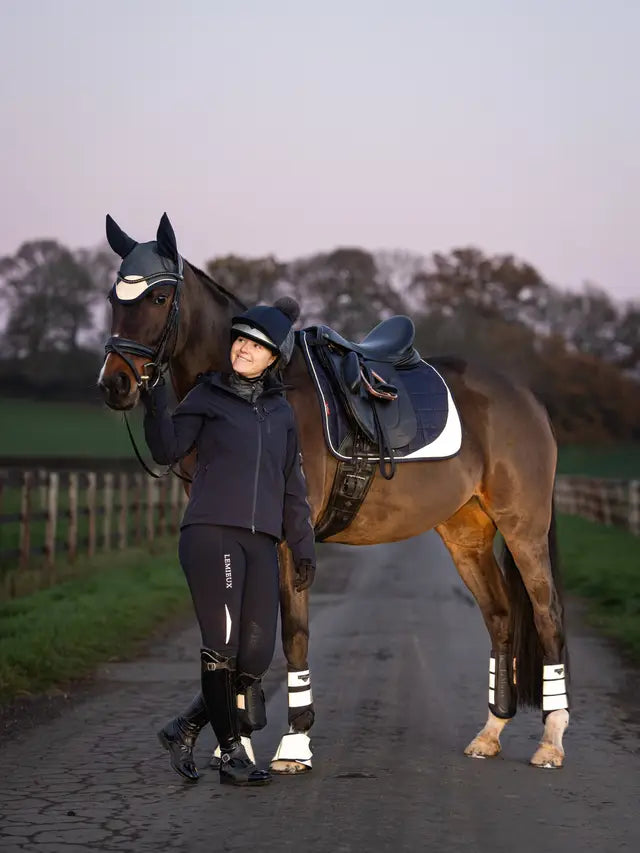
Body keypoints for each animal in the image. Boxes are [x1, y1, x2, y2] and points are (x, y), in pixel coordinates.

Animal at [98, 213, 570, 771]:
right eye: (114, 297)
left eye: (158, 298)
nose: (115, 384)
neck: (258, 391)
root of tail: (528, 399)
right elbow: (240, 634)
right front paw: (235, 742)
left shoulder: (289, 542)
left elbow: (293, 634)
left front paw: (293, 743)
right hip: (466, 534)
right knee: (500, 616)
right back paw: (490, 732)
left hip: (523, 531)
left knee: (546, 615)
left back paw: (551, 740)